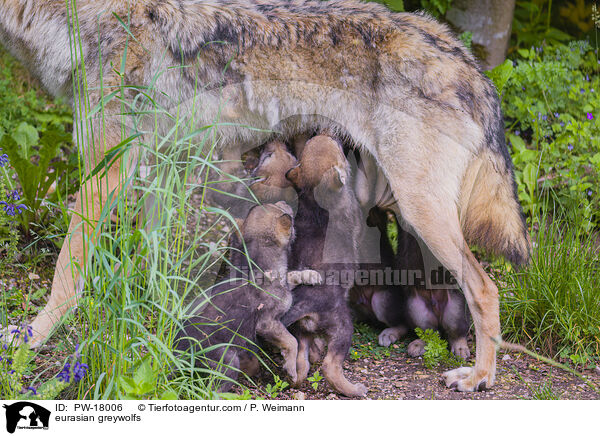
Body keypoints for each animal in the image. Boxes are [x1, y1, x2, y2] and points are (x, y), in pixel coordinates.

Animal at [176, 201, 322, 388]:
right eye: (280, 207)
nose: (286, 202)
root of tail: (178, 351)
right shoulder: (266, 323)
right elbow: (292, 341)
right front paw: (291, 369)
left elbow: (292, 274)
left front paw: (312, 275)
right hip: (228, 361)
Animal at [282, 135, 366, 396]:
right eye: (336, 147)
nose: (337, 136)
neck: (315, 203)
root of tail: (305, 306)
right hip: (342, 329)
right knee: (330, 367)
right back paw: (355, 389)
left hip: (302, 333)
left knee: (301, 363)